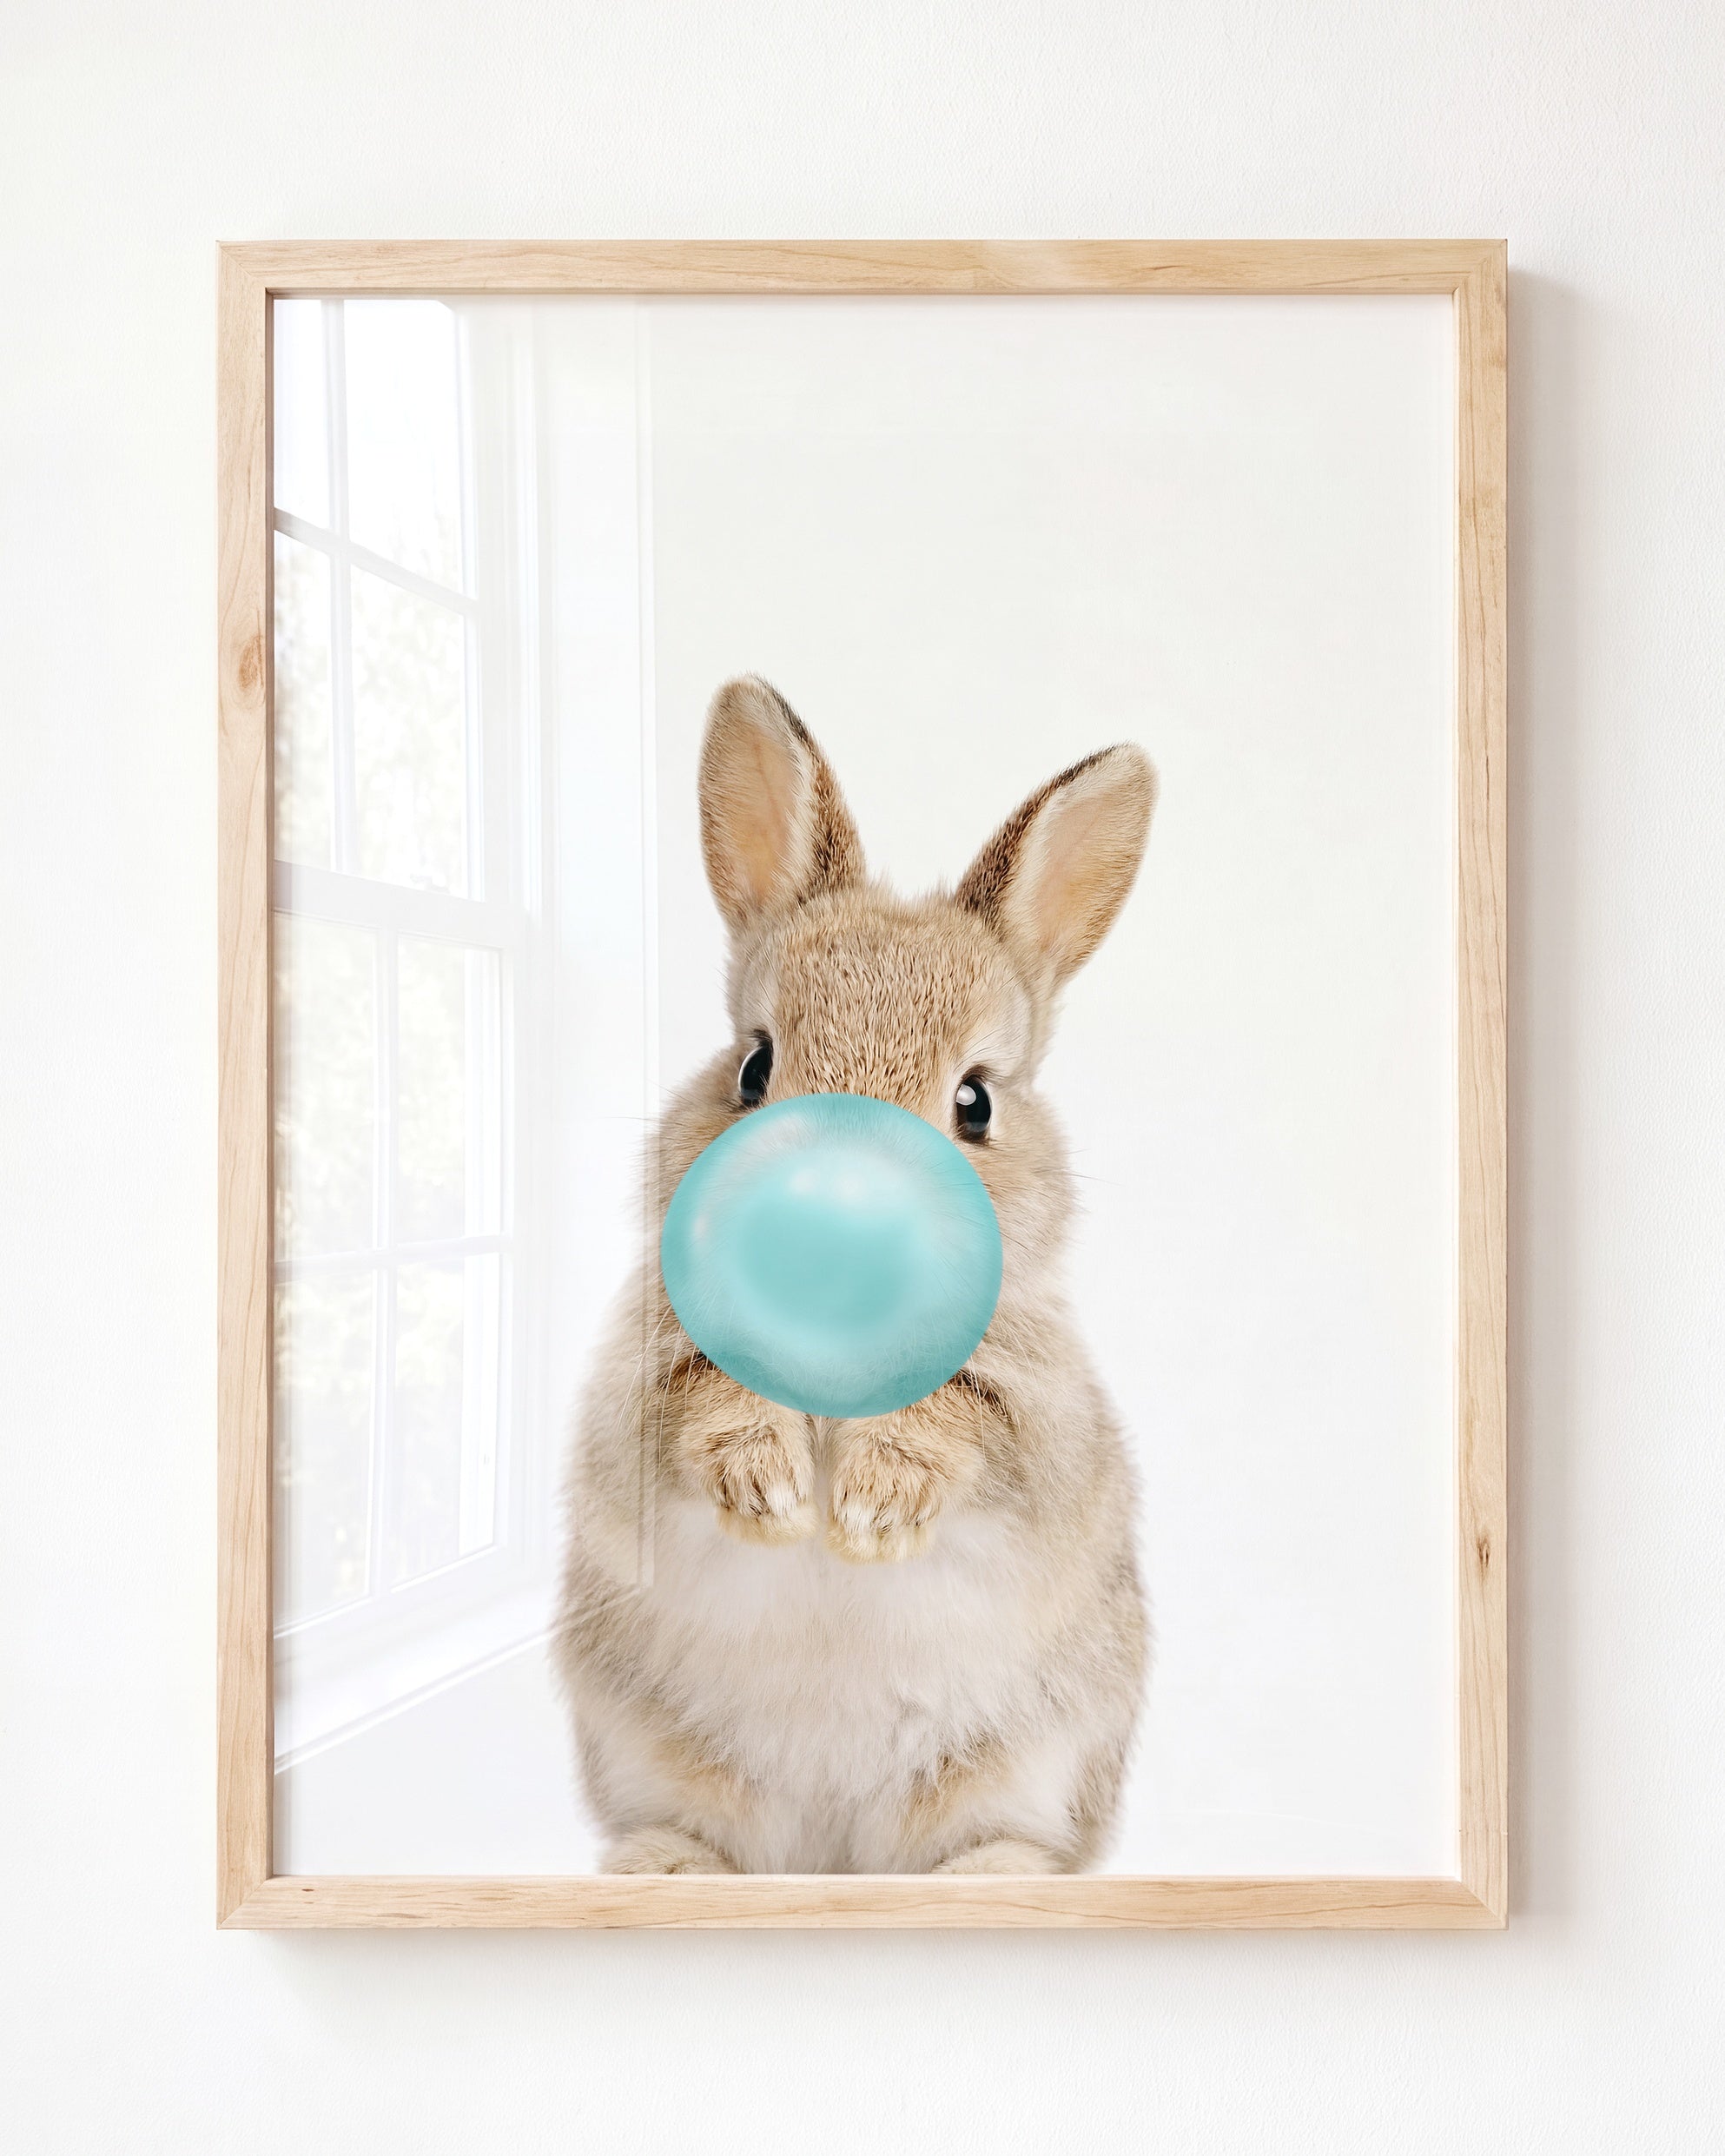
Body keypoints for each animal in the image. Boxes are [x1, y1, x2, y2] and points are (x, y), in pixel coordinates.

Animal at [553, 675, 1155, 1874]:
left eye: (975, 1101)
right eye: (753, 1066)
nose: (833, 1214)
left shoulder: (1040, 1422)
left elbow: (960, 1422)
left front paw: (870, 1510)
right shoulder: (640, 1389)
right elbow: (703, 1405)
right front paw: (775, 1493)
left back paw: (994, 1883)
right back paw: (667, 1868)